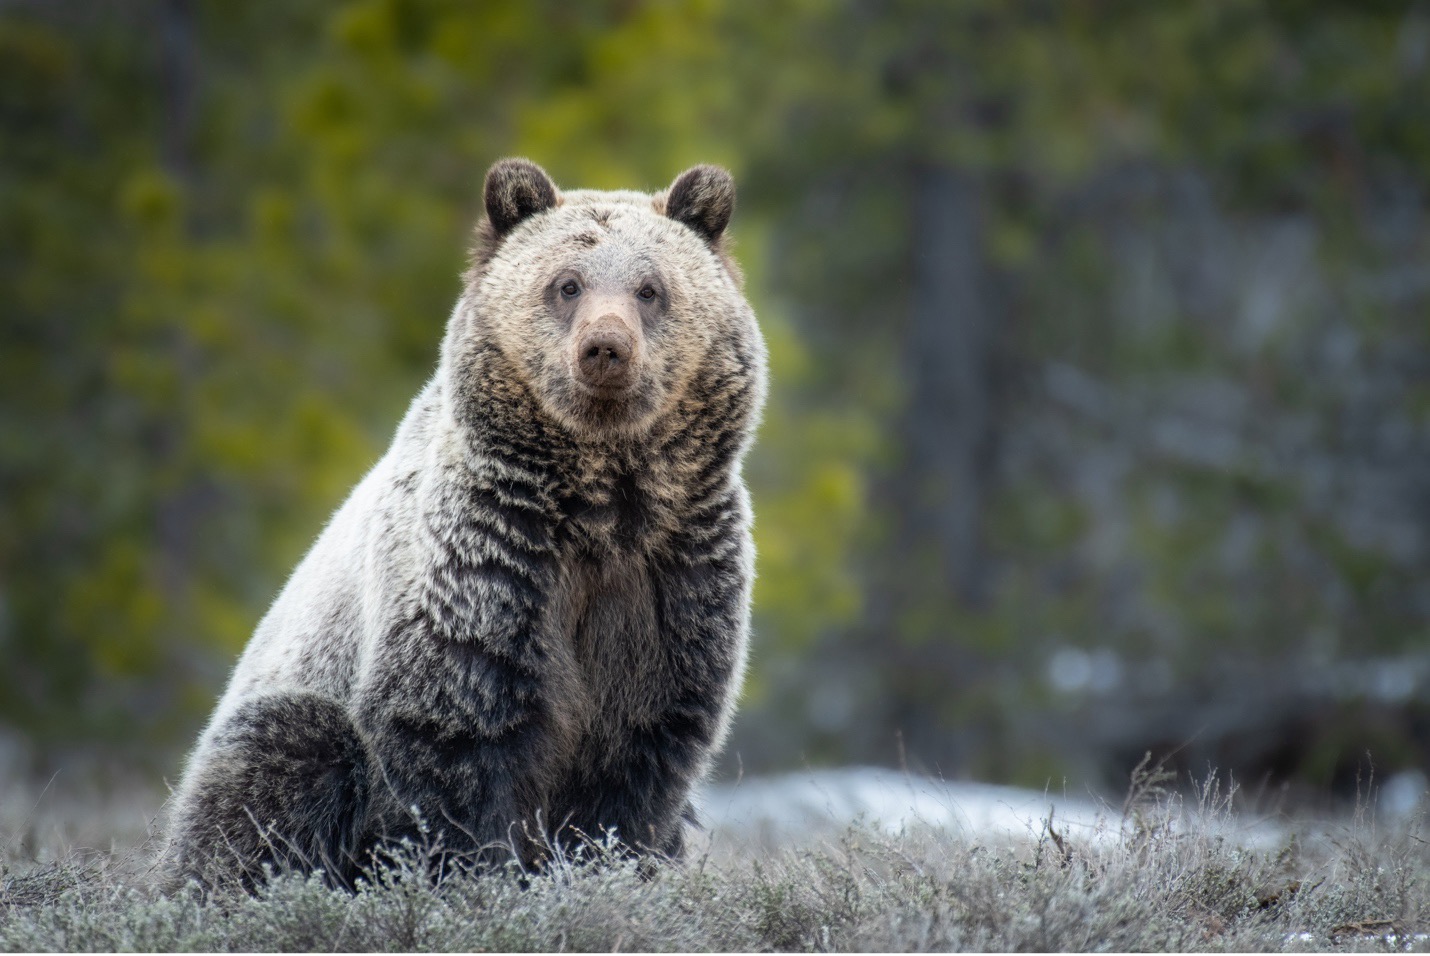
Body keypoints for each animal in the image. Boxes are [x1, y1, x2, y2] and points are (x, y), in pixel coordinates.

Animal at [162, 160, 766, 891]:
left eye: (650, 288)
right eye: (567, 283)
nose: (605, 349)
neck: (601, 503)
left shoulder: (676, 580)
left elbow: (638, 763)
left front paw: (607, 868)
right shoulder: (485, 565)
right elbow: (454, 747)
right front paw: (471, 877)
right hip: (279, 712)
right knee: (282, 761)